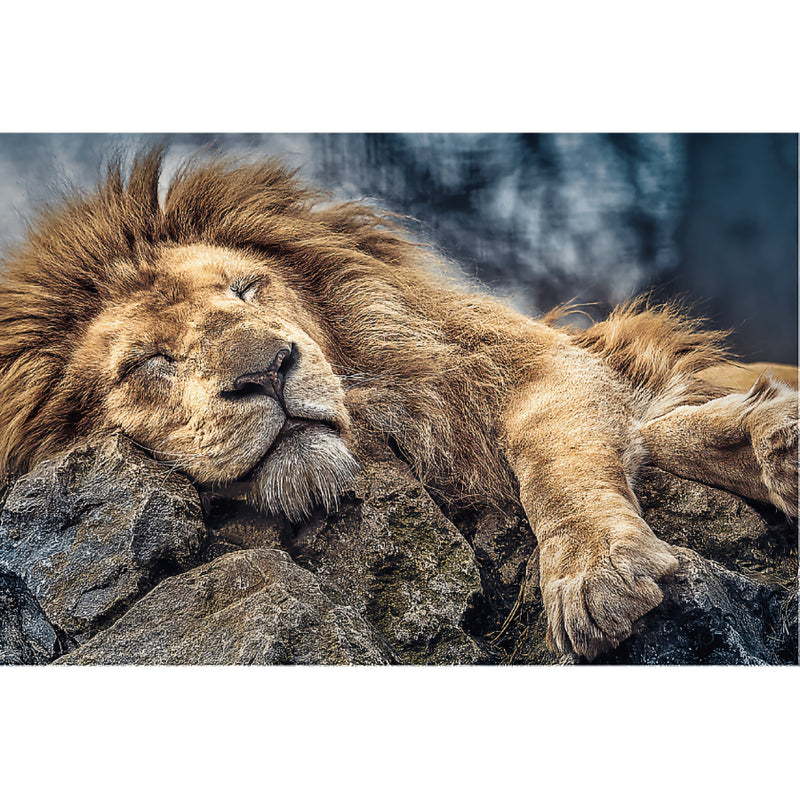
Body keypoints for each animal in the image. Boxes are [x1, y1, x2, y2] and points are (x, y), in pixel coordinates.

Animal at [0, 146, 796, 660]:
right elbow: (659, 431)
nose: (269, 368)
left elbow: (559, 456)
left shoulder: (532, 364)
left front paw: (597, 570)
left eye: (246, 289)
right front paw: (762, 439)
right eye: (149, 363)